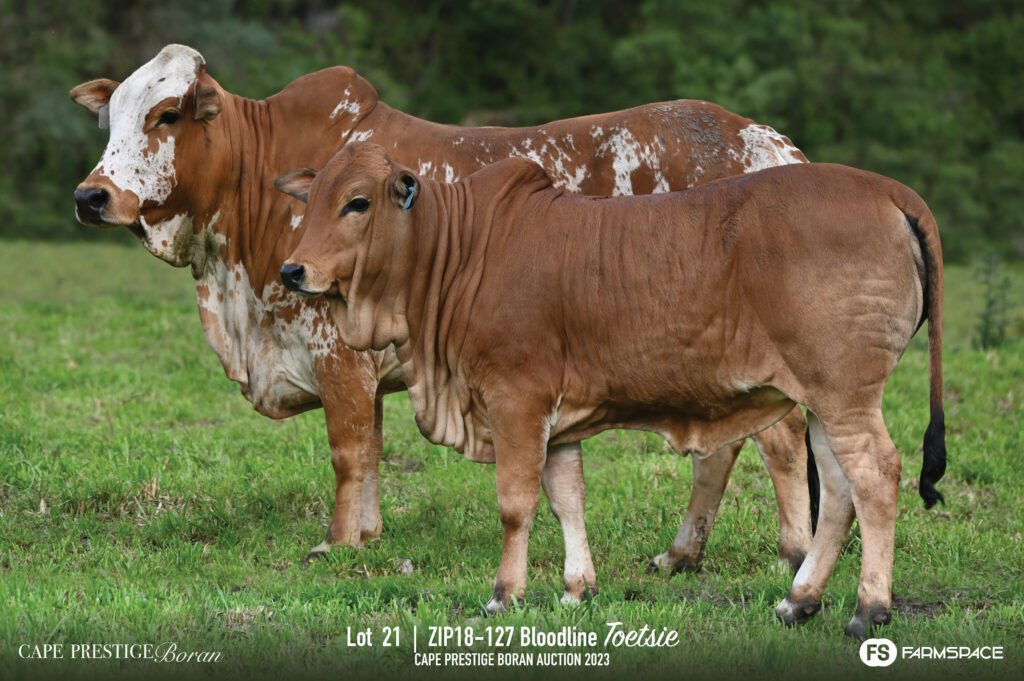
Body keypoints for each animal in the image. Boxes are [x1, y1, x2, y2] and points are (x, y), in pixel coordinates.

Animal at [70, 44, 813, 591]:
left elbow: (348, 452)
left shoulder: (337, 352)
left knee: (780, 440)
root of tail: (774, 143)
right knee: (723, 447)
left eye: (167, 114)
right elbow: (370, 448)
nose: (91, 196)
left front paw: (337, 544)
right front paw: (367, 537)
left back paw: (793, 554)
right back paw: (682, 554)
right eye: (110, 119)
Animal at [277, 141, 946, 638]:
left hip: (844, 394)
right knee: (837, 490)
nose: (292, 270)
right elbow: (566, 499)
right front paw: (578, 588)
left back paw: (869, 609)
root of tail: (890, 190)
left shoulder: (517, 400)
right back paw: (799, 600)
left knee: (875, 476)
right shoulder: (557, 420)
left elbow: (515, 505)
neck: (458, 252)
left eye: (357, 202)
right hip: (826, 399)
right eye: (310, 201)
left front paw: (504, 594)